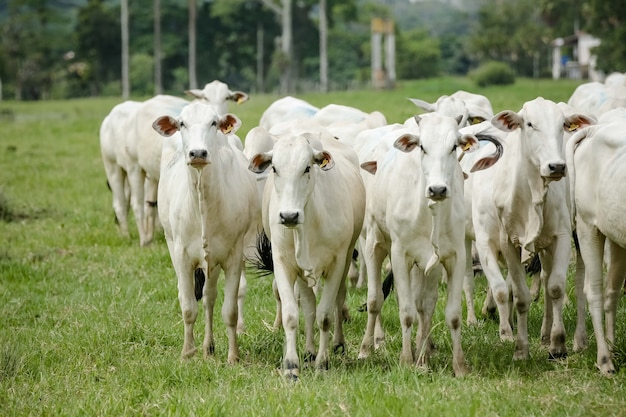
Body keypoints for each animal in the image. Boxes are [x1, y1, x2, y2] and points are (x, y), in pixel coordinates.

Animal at [152, 101, 258, 364]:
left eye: (214, 123)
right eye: (182, 123)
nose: (198, 154)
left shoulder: (232, 257)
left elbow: (229, 311)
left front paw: (233, 356)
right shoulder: (181, 256)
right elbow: (189, 307)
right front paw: (187, 352)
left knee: (210, 298)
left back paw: (209, 346)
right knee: (197, 297)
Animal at [249, 132, 364, 376]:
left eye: (307, 168)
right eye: (274, 168)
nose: (289, 215)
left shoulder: (337, 263)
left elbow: (325, 315)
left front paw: (323, 362)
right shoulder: (283, 263)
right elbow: (293, 314)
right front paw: (291, 365)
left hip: (347, 258)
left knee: (338, 300)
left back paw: (337, 344)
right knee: (309, 305)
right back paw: (309, 351)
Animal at [356, 112, 498, 376]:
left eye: (454, 146)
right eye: (422, 147)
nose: (438, 189)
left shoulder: (452, 256)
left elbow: (446, 312)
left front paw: (455, 365)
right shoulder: (399, 255)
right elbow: (406, 311)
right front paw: (406, 360)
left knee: (424, 304)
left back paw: (424, 351)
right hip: (375, 243)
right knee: (375, 299)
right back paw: (368, 347)